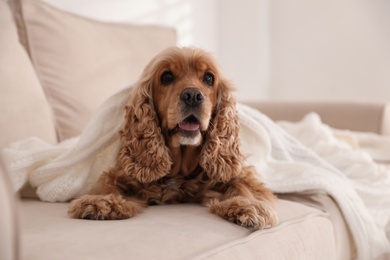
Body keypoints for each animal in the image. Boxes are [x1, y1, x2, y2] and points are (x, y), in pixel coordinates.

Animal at [69, 46, 278, 230]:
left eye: (208, 78)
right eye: (167, 77)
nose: (192, 95)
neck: (180, 171)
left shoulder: (238, 172)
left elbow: (243, 185)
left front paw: (248, 206)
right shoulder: (123, 172)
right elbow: (107, 183)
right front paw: (101, 201)